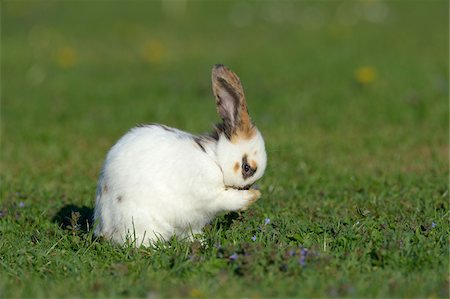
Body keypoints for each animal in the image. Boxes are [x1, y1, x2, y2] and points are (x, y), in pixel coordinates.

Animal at [93, 65, 266, 246]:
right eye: (246, 168)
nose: (247, 188)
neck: (214, 159)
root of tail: (105, 229)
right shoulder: (210, 192)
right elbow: (228, 198)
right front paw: (253, 196)